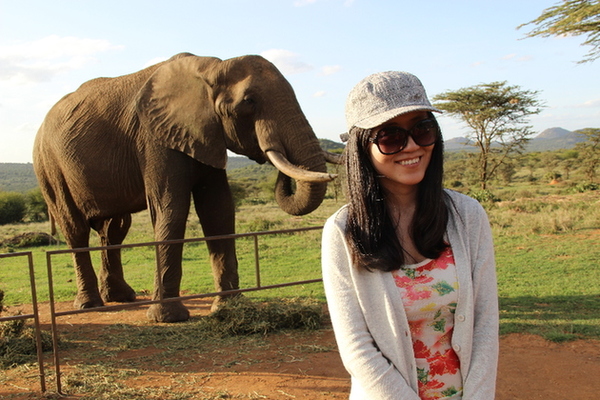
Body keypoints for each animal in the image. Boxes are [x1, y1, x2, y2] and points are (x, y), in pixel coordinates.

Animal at [33, 52, 340, 323]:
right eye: (249, 102)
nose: (276, 167)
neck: (210, 69)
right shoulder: (155, 138)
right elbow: (171, 208)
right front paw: (168, 318)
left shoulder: (206, 134)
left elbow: (218, 209)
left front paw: (229, 309)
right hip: (48, 165)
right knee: (75, 227)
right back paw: (90, 305)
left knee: (115, 228)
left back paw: (121, 298)